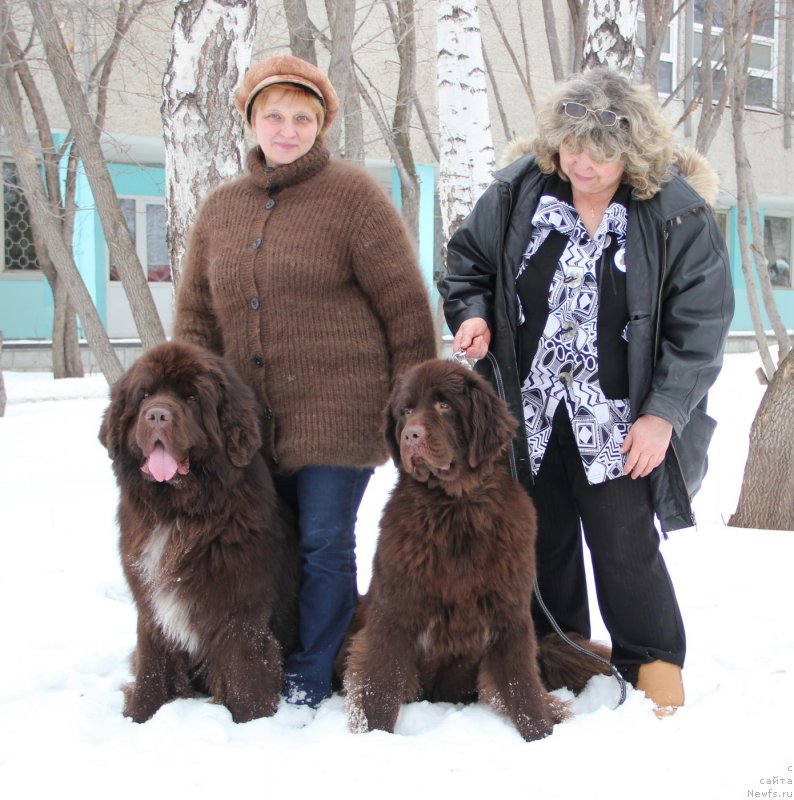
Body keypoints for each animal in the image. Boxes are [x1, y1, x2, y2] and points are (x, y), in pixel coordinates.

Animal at [99, 340, 296, 720]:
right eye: (144, 395)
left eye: (191, 397)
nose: (157, 415)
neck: (177, 514)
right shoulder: (151, 607)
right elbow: (151, 668)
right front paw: (139, 717)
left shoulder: (241, 612)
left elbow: (245, 677)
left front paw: (252, 724)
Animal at [340, 360, 608, 740]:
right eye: (405, 411)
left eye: (443, 405)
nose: (411, 436)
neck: (455, 508)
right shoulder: (394, 610)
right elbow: (381, 684)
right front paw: (377, 738)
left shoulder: (510, 614)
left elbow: (523, 689)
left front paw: (540, 736)